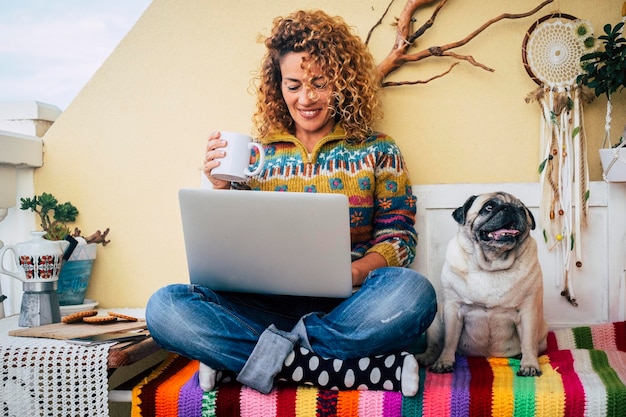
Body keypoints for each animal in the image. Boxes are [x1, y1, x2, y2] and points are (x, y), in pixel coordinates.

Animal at [416, 192, 544, 376]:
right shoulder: (453, 308)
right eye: (489, 207)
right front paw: (444, 362)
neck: (491, 265)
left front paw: (529, 365)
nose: (510, 208)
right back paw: (426, 358)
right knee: (435, 345)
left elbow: (528, 341)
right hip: (436, 319)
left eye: (521, 210)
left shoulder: (528, 310)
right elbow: (449, 340)